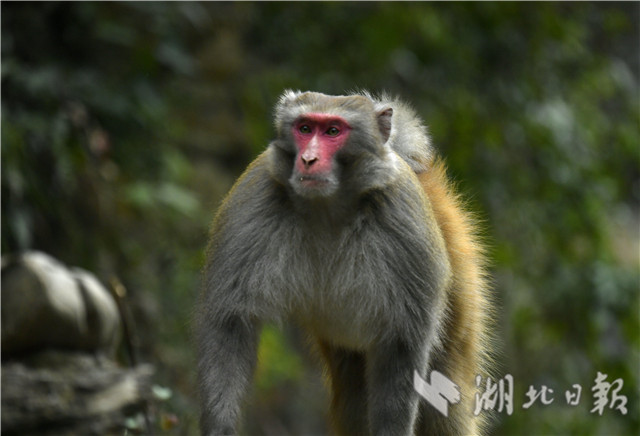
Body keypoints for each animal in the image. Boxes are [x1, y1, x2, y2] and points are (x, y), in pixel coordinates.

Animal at [195, 90, 490, 434]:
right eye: (305, 128)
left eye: (333, 131)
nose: (308, 159)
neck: (328, 208)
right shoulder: (253, 199)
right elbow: (229, 326)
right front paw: (220, 428)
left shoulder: (406, 228)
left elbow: (401, 347)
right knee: (352, 391)